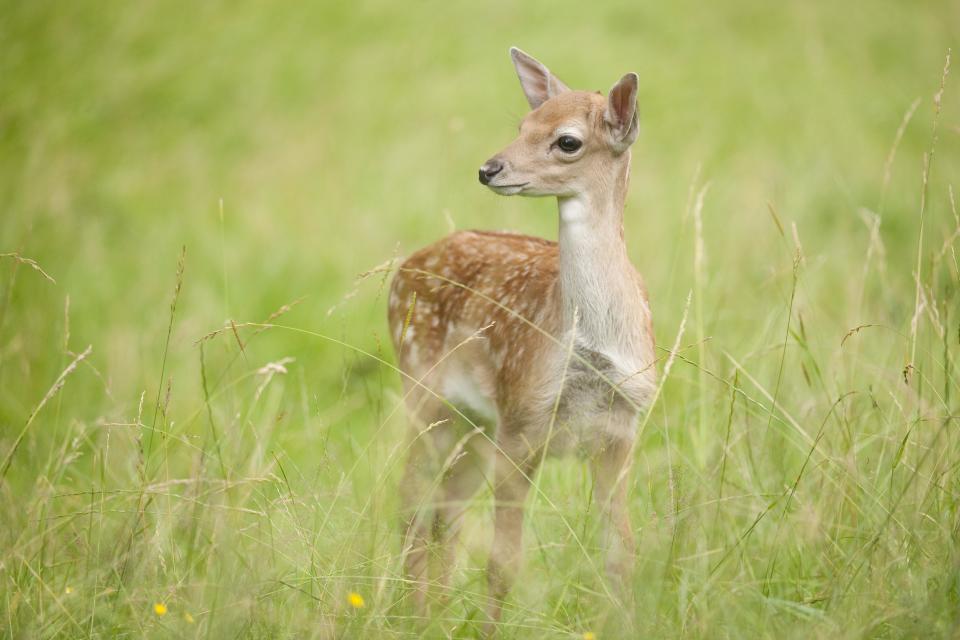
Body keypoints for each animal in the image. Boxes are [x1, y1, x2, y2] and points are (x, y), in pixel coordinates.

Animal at [386, 46, 656, 624]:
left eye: (567, 140)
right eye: (522, 126)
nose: (488, 168)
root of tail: (407, 264)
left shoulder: (621, 432)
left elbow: (621, 557)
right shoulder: (521, 422)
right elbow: (503, 564)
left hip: (475, 425)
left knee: (446, 513)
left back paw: (436, 613)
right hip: (423, 393)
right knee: (413, 508)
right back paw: (411, 616)